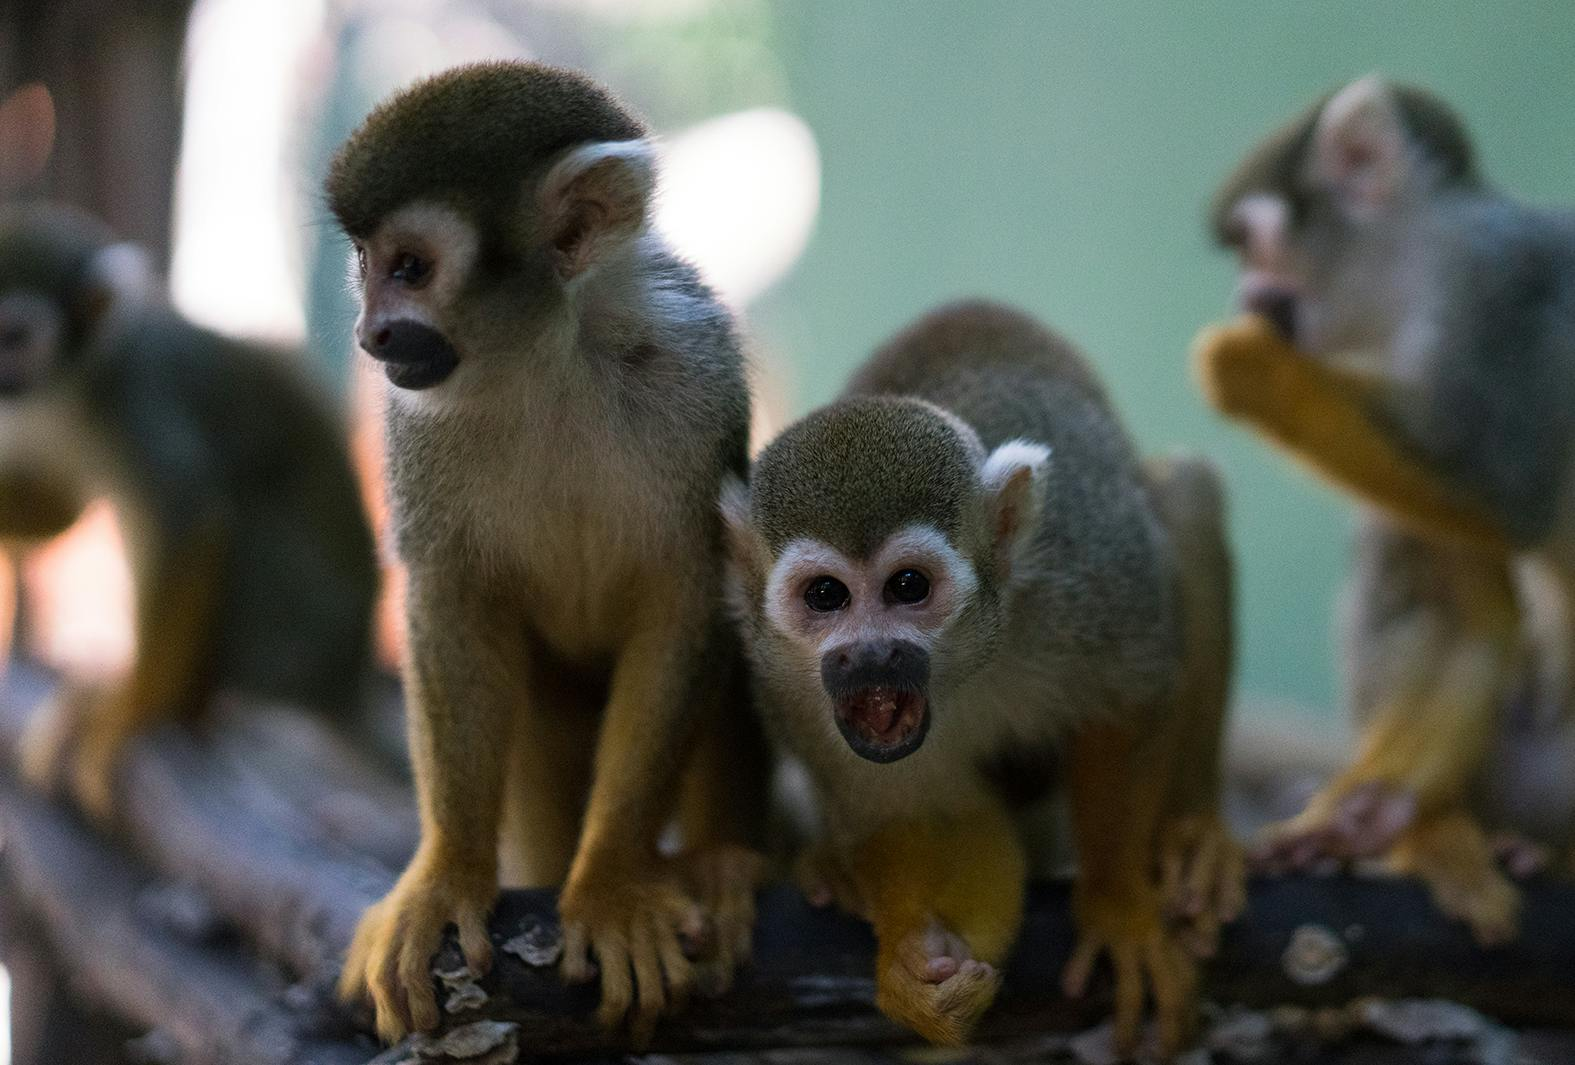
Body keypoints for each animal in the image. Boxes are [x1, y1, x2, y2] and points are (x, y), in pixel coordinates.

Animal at [0, 201, 379, 820]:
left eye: (13, 337)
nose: (1, 377)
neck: (71, 381)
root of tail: (344, 680)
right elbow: (58, 507)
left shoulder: (145, 395)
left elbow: (186, 524)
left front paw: (132, 711)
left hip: (292, 628)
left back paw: (177, 700)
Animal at [324, 61, 770, 1045]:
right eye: (366, 263)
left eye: (410, 268)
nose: (372, 334)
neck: (544, 362)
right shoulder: (412, 425)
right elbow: (451, 603)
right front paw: (446, 873)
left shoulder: (698, 375)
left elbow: (690, 599)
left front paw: (610, 881)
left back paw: (719, 862)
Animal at [721, 300, 1241, 1055]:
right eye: (824, 596)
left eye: (908, 586)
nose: (870, 655)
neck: (963, 666)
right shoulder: (785, 683)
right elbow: (934, 813)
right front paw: (916, 960)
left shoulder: (1087, 574)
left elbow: (1129, 702)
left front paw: (1118, 903)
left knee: (1182, 499)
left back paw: (1194, 834)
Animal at [1197, 74, 1575, 942]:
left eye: (1254, 245)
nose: (1241, 293)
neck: (1421, 272)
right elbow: (1464, 611)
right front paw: (1372, 812)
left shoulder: (1495, 298)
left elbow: (1506, 490)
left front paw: (1257, 369)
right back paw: (1443, 833)